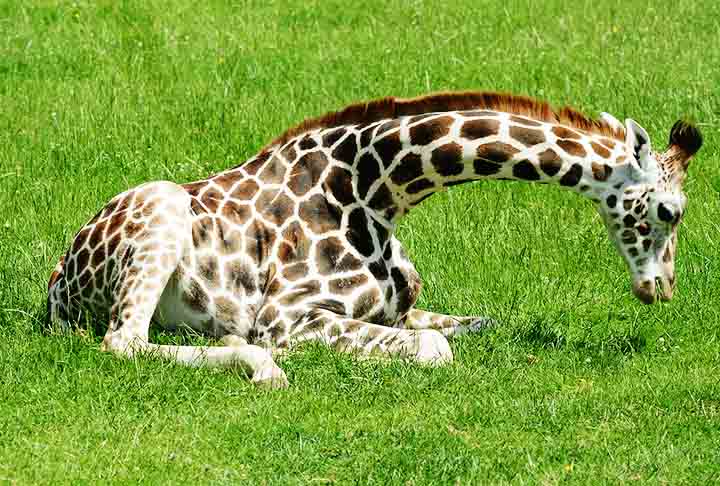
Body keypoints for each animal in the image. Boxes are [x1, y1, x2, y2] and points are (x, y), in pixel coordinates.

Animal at [46, 91, 704, 388]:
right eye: (669, 211)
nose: (661, 289)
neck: (377, 190)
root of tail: (55, 288)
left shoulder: (402, 308)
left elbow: (482, 323)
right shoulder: (292, 316)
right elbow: (436, 349)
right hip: (161, 207)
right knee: (123, 342)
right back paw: (263, 365)